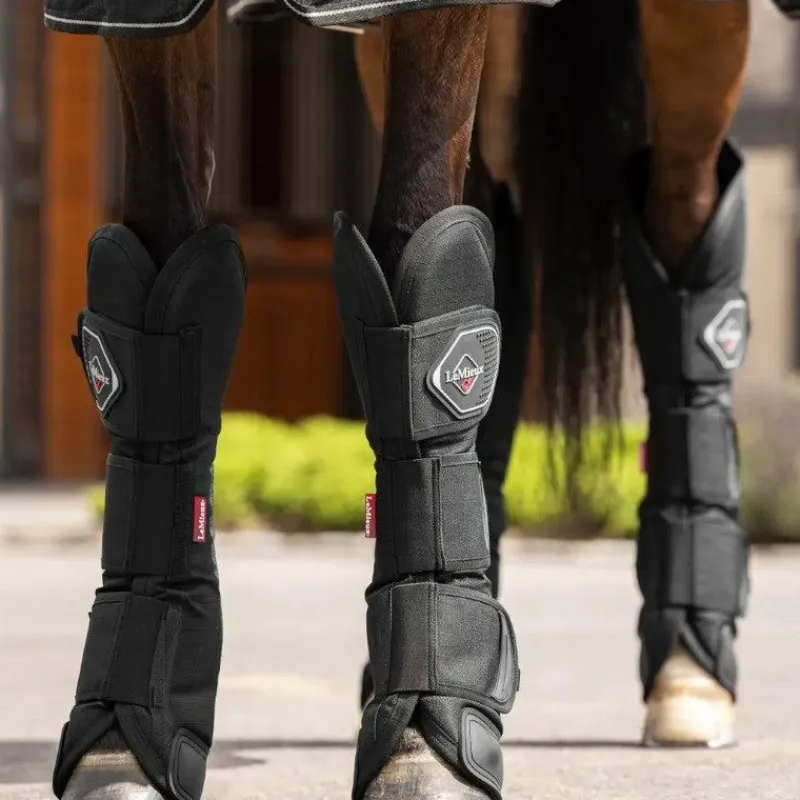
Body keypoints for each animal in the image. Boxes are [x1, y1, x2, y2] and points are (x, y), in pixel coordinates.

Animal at [42, 0, 757, 799]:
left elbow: (418, 237)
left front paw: (421, 743)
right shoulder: (140, 20)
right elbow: (164, 260)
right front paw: (122, 745)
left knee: (683, 214)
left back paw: (690, 669)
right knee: (499, 231)